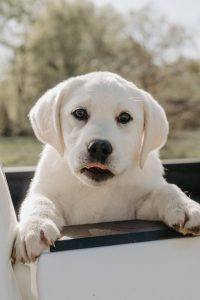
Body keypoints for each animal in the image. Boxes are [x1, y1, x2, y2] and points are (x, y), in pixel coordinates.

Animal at [12, 71, 200, 262]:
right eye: (80, 113)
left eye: (124, 117)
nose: (99, 147)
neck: (97, 190)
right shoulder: (45, 190)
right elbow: (39, 201)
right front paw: (34, 227)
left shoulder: (139, 209)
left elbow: (166, 189)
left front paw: (185, 206)